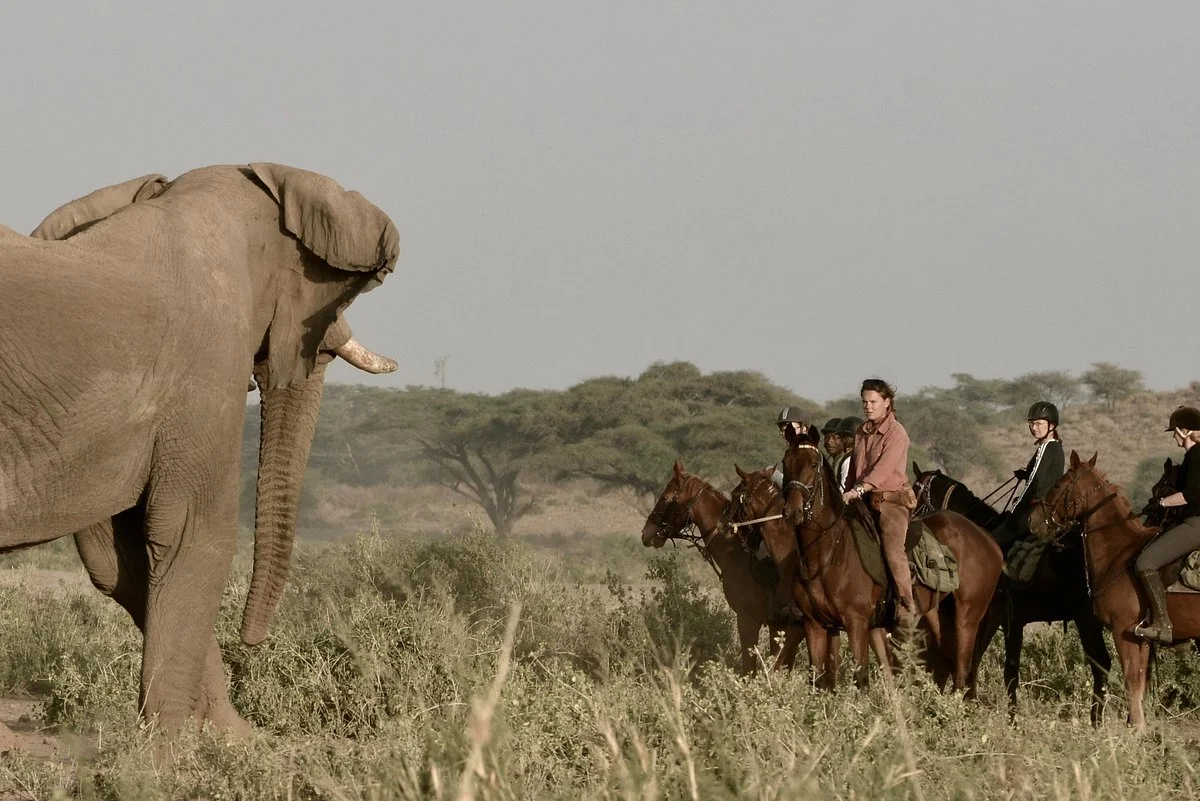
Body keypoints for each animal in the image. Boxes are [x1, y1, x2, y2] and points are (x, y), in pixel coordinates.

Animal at [780, 441, 1004, 696]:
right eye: (786, 462)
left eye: (813, 464)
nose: (792, 511)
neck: (827, 553)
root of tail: (990, 541)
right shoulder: (815, 624)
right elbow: (817, 680)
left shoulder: (856, 623)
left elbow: (861, 679)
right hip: (939, 617)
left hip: (968, 618)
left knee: (962, 672)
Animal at [912, 463, 1111, 725]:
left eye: (915, 489)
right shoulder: (1008, 622)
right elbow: (1000, 668)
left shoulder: (996, 618)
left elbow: (989, 665)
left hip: (1086, 618)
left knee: (1102, 664)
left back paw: (1096, 721)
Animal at [1029, 450, 1200, 728]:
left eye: (1057, 485)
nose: (1032, 520)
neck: (1119, 554)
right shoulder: (1141, 639)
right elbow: (1140, 685)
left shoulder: (1124, 632)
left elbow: (1132, 683)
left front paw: (1137, 729)